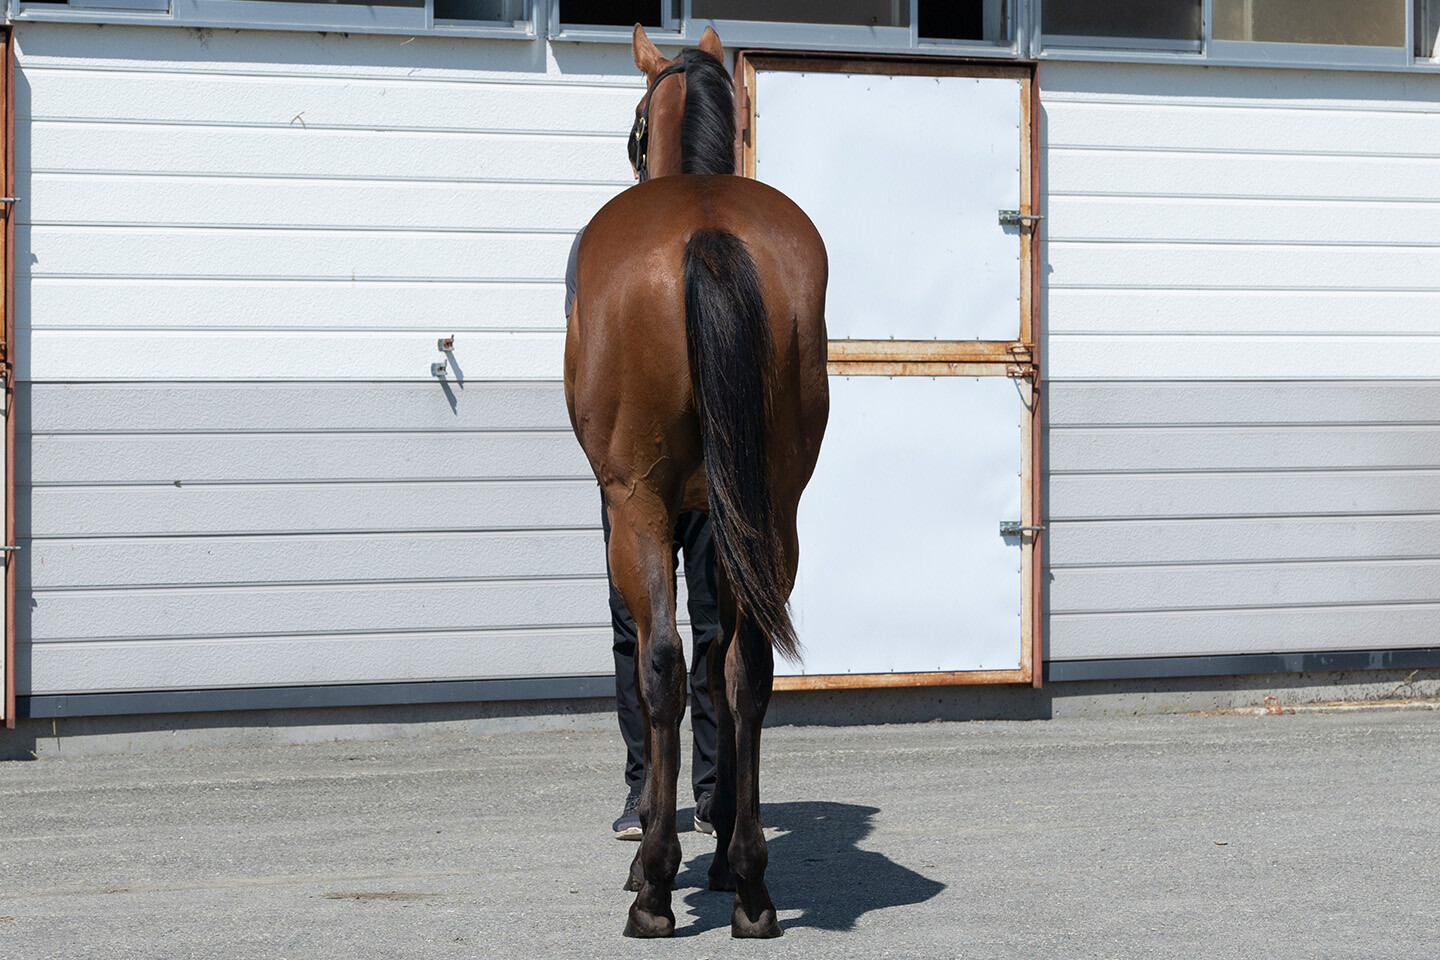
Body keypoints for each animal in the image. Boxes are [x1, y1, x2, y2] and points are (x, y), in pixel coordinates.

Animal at [563, 24, 829, 940]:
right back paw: (747, 882)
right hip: (772, 512)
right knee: (747, 668)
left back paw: (653, 885)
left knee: (664, 664)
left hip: (639, 507)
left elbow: (658, 666)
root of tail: (707, 235)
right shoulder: (725, 522)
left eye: (637, 128)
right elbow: (725, 667)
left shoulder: (630, 506)